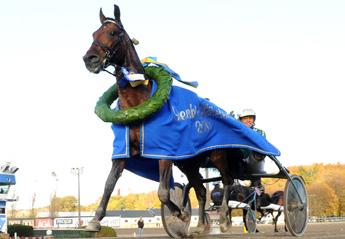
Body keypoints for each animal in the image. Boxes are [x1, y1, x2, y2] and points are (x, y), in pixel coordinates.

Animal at [82, 4, 234, 235]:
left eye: (114, 32)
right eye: (93, 34)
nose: (90, 59)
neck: (137, 103)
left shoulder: (164, 152)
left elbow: (163, 192)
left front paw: (180, 213)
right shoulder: (122, 152)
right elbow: (108, 185)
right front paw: (95, 220)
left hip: (217, 154)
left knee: (226, 180)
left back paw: (224, 218)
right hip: (188, 162)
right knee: (200, 189)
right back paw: (200, 226)